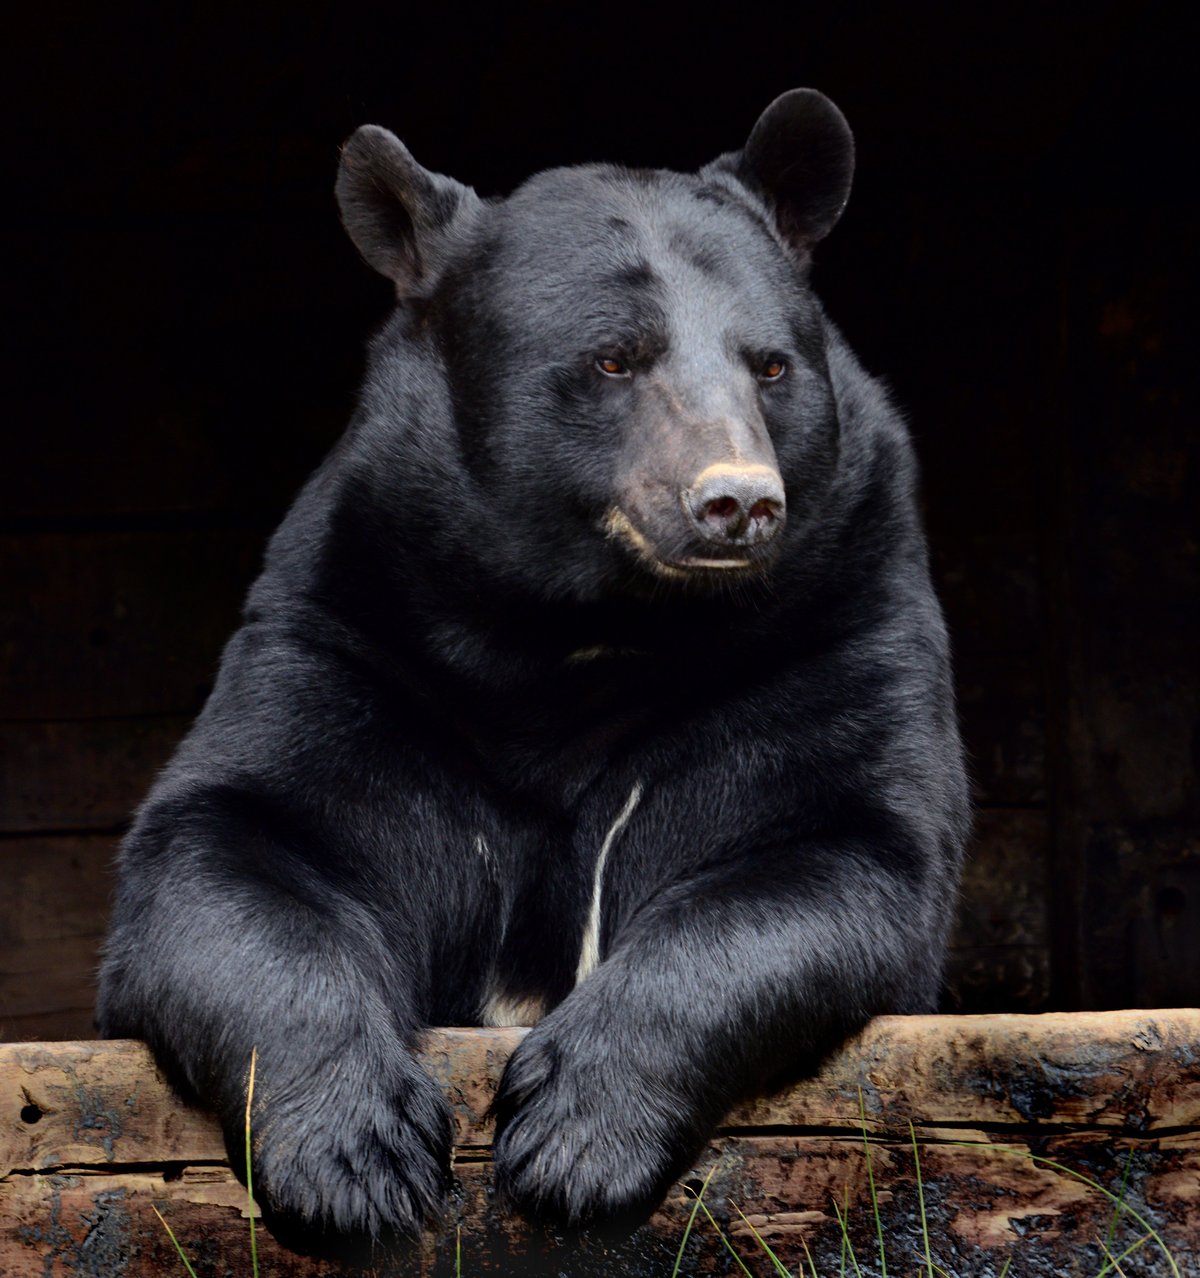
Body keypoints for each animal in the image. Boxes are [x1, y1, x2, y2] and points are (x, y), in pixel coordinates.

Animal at [97, 88, 969, 1246]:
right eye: (614, 359)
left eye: (772, 366)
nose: (737, 502)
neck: (577, 636)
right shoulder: (351, 633)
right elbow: (240, 843)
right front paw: (356, 1159)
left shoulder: (842, 623)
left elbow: (827, 848)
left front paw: (573, 1137)